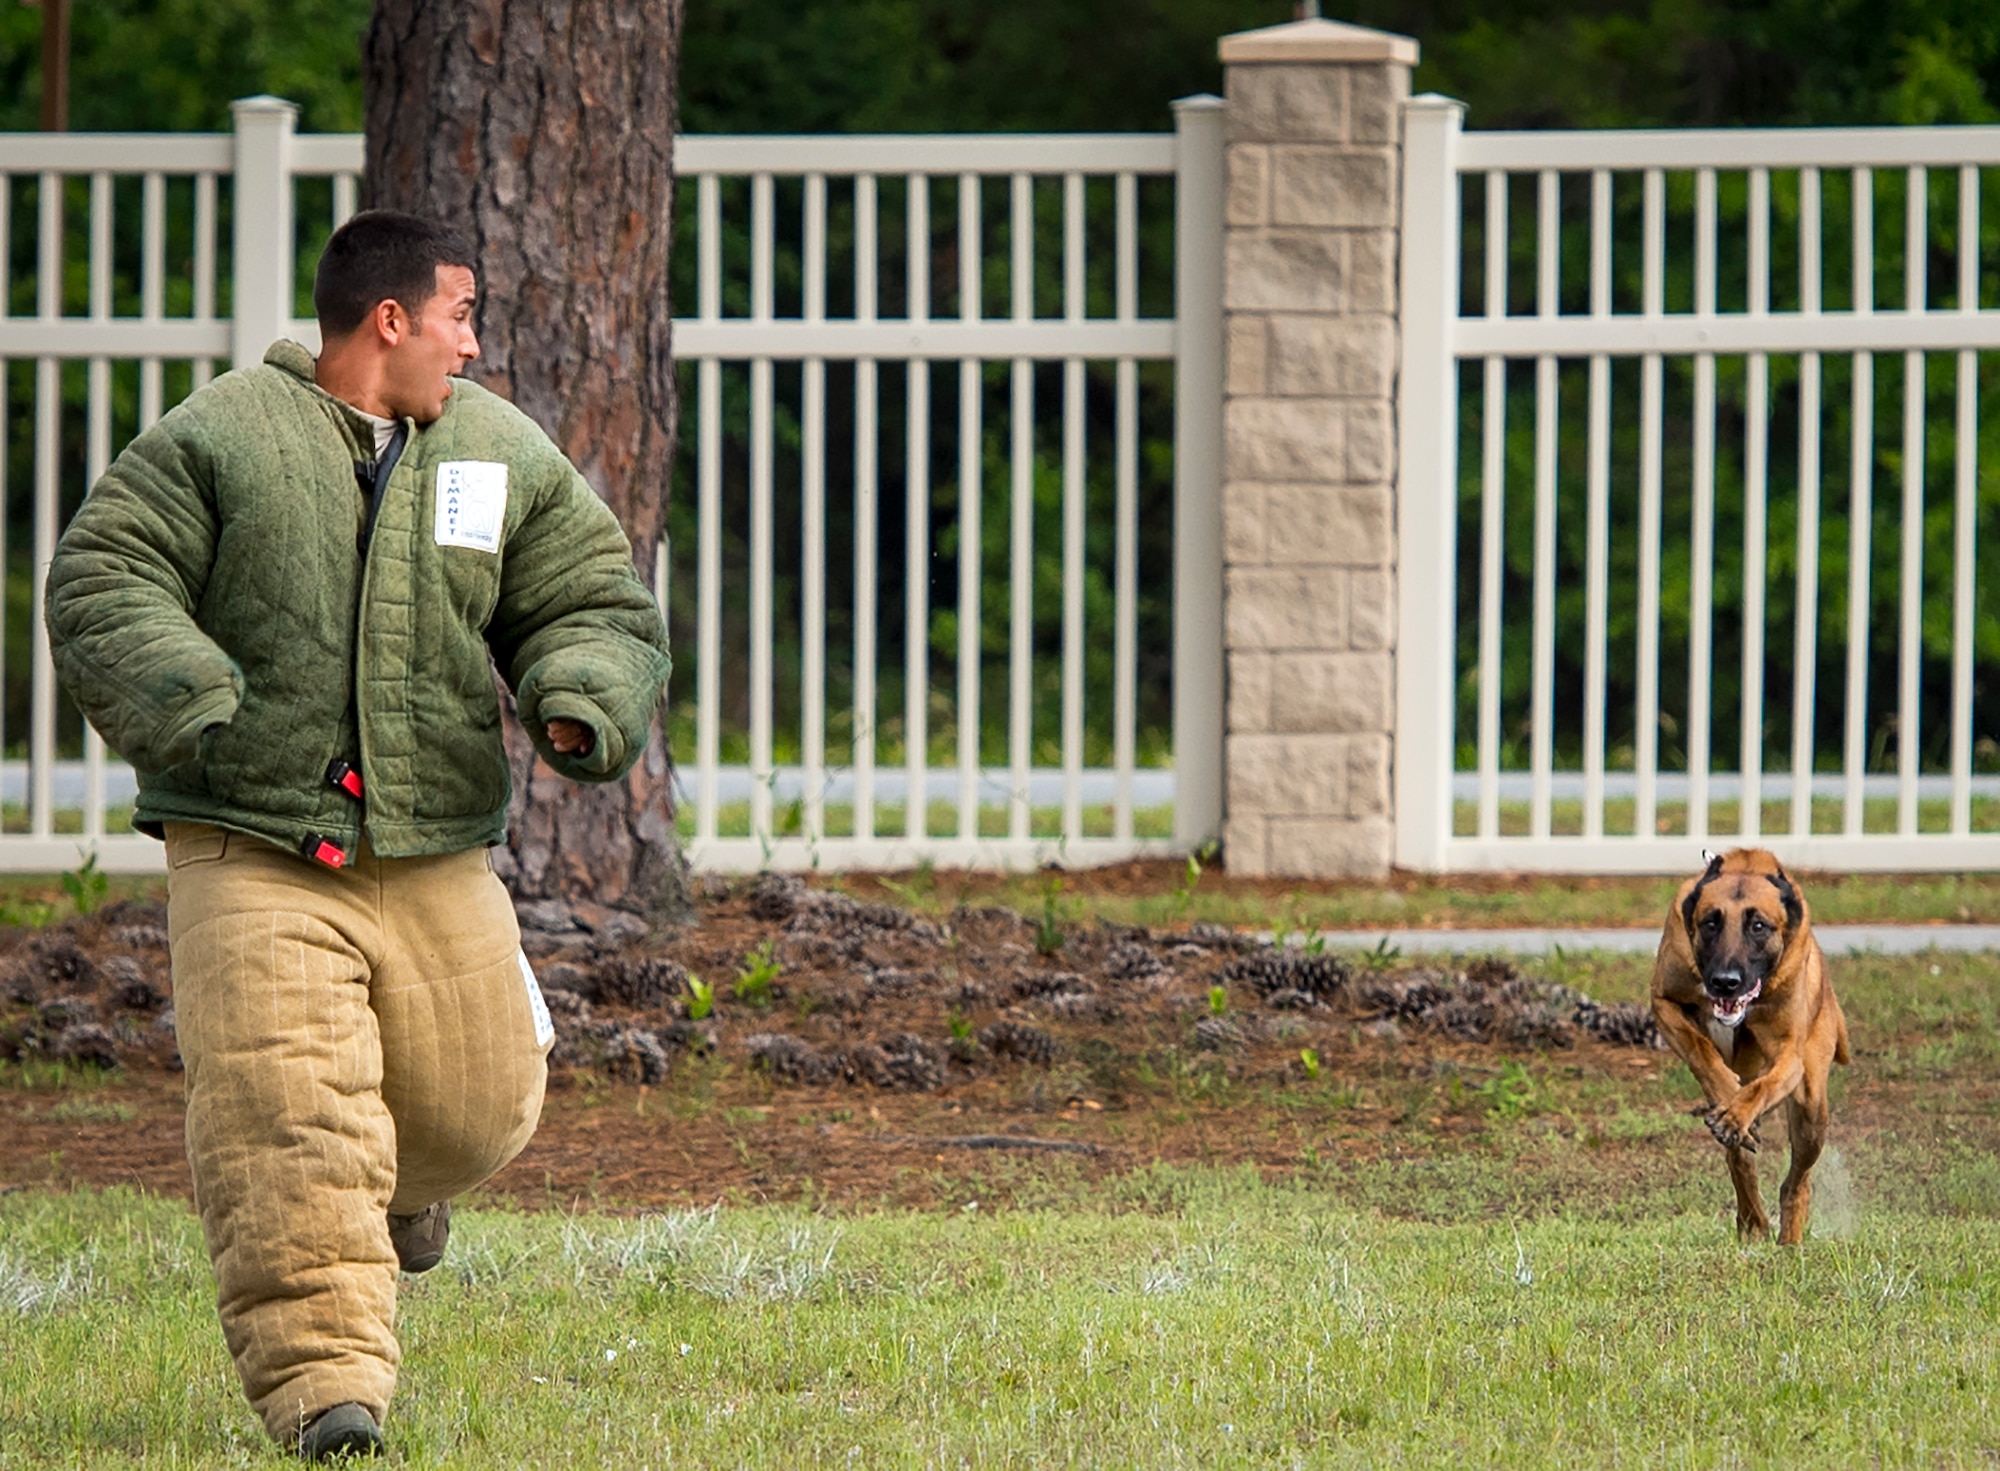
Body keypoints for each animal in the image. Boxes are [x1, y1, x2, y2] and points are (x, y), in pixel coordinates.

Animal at [1648, 851, 1848, 1239]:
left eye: (1758, 926)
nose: (1725, 982)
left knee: (1796, 1181)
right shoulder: (1664, 1002)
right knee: (1739, 1161)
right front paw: (1730, 1098)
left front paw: (1738, 1112)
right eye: (1710, 923)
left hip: (1812, 1111)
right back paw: (1752, 1219)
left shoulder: (1789, 1053)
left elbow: (1764, 1086)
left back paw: (1788, 1238)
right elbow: (1700, 1049)